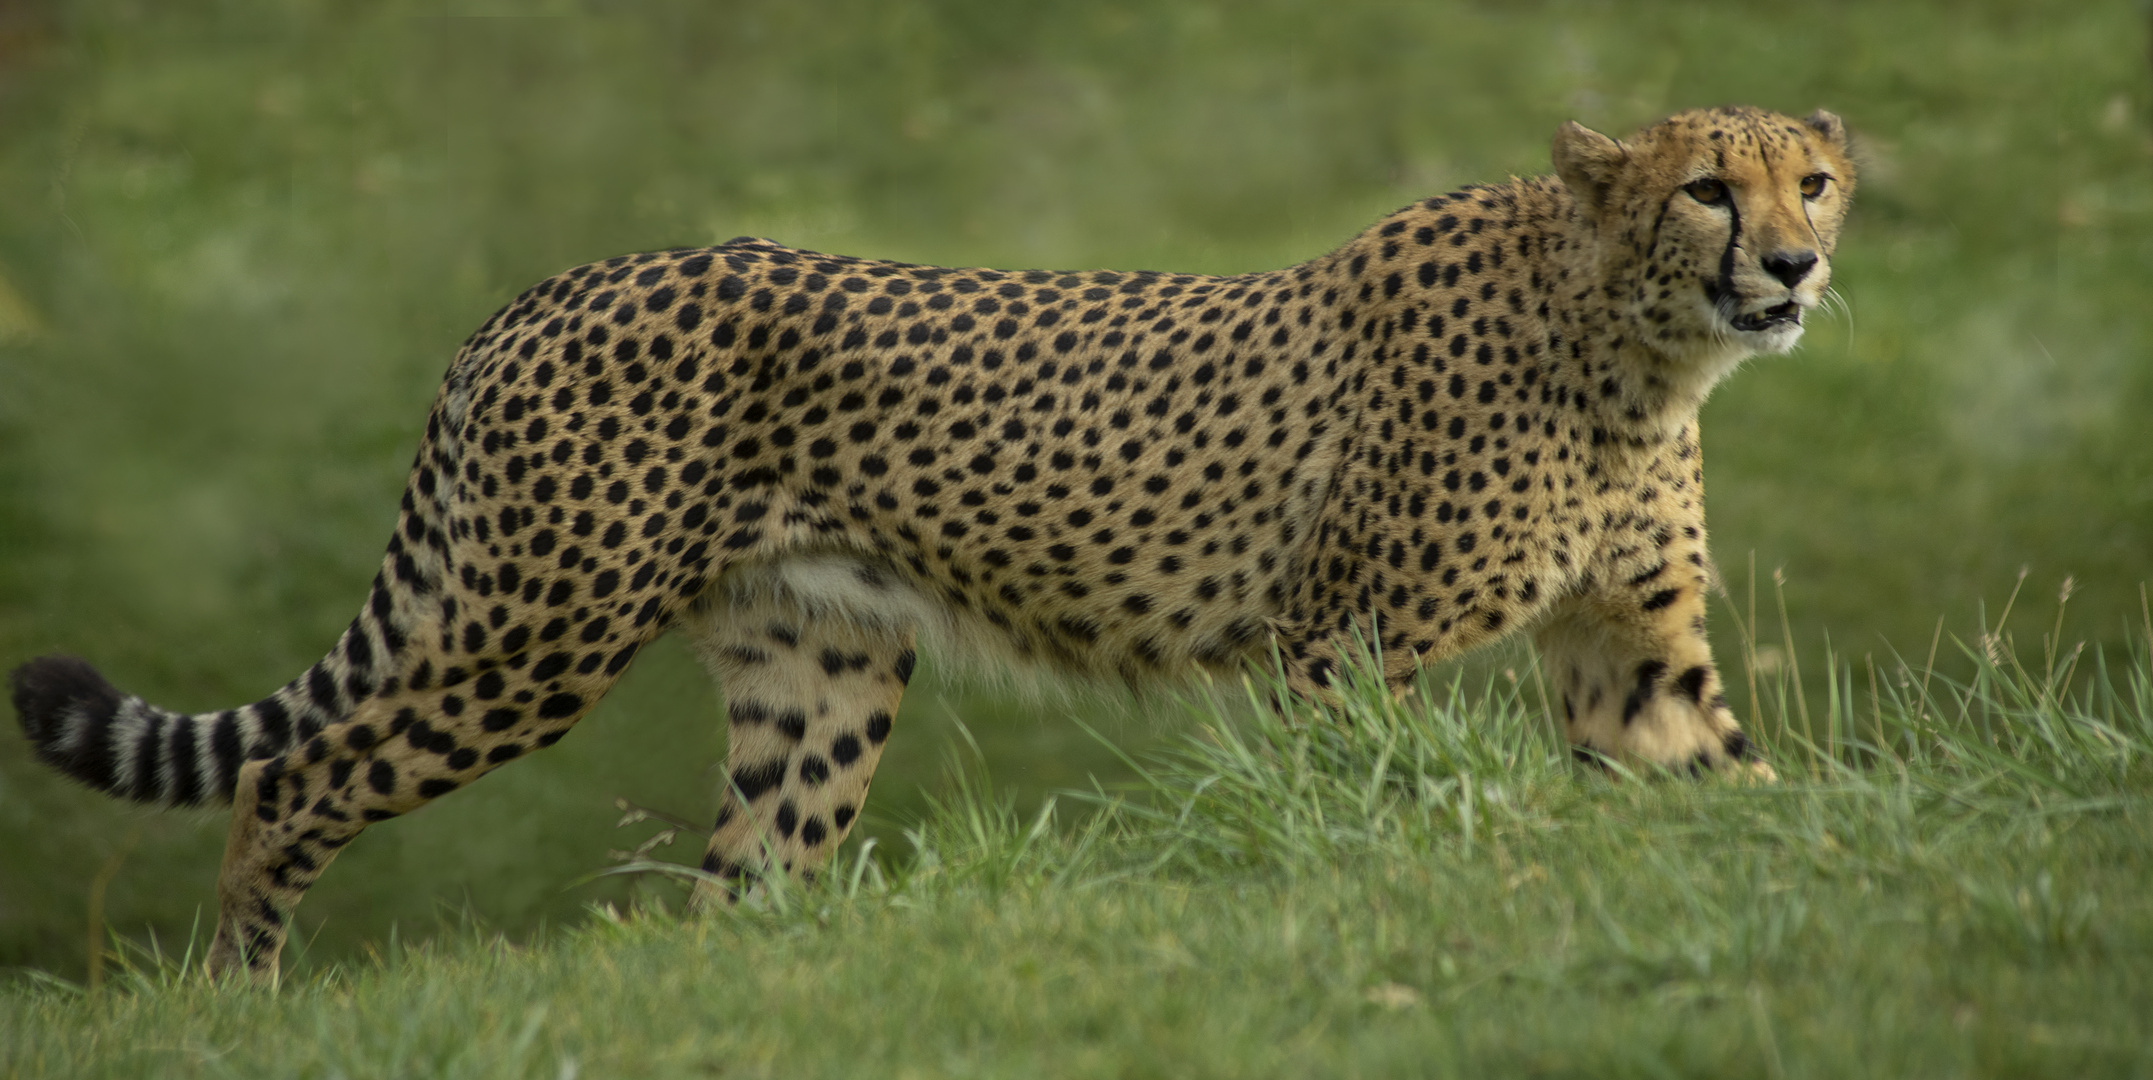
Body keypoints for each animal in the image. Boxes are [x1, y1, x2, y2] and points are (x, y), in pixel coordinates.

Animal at [4, 103, 1851, 976]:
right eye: (1708, 185)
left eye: (1813, 180)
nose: (1792, 265)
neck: (1626, 339)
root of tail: (542, 287)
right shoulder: (1342, 647)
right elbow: (1373, 813)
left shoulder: (1631, 658)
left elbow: (1745, 785)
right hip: (538, 628)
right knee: (288, 778)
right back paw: (239, 1003)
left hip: (818, 672)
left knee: (738, 880)